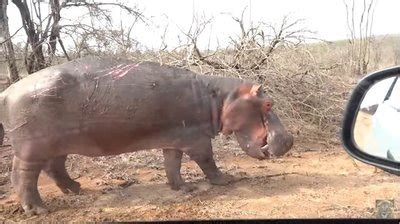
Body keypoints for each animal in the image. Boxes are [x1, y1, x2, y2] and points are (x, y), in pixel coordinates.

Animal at [0, 56, 294, 214]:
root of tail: (7, 92)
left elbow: (172, 164)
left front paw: (183, 188)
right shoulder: (197, 138)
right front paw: (225, 180)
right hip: (32, 148)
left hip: (58, 143)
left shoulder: (177, 136)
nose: (290, 140)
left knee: (55, 167)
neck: (220, 97)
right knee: (23, 176)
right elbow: (207, 160)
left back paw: (76, 189)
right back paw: (38, 209)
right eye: (268, 104)